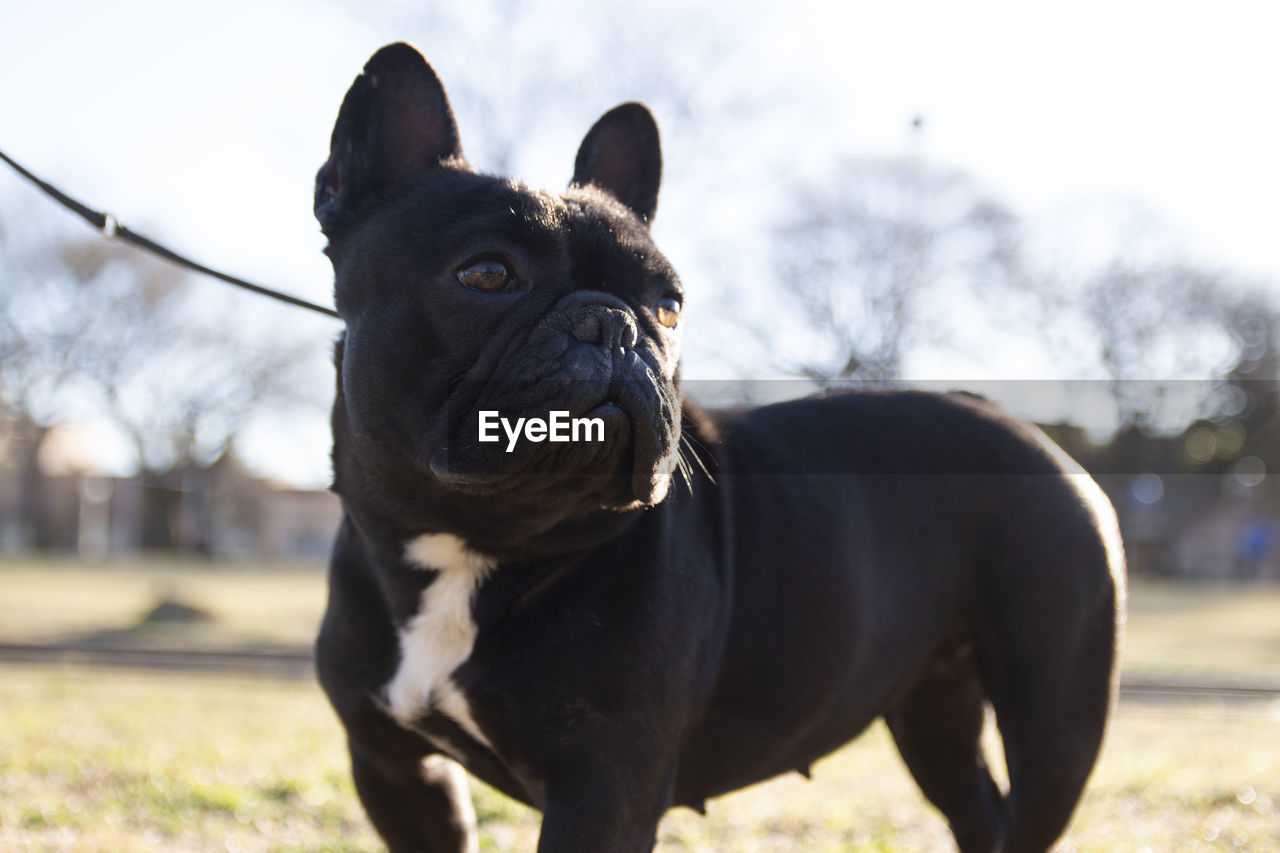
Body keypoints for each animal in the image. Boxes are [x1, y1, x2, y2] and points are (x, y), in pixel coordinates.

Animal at [314, 41, 1126, 850]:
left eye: (669, 305)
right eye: (486, 273)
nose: (615, 323)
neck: (474, 544)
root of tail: (1023, 429)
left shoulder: (606, 786)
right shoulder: (394, 769)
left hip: (1056, 718)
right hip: (935, 710)